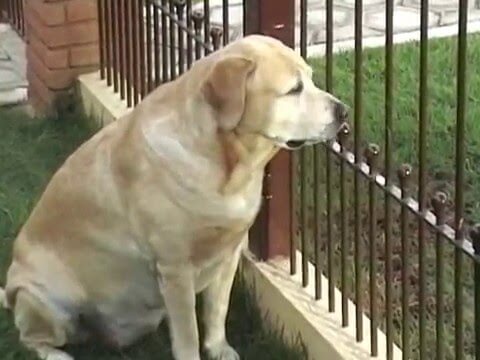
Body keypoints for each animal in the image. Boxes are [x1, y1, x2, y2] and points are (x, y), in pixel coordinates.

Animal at [0, 34, 344, 360]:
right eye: (294, 89)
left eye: (311, 78)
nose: (344, 111)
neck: (228, 168)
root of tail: (11, 291)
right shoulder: (176, 267)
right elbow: (188, 333)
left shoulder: (229, 254)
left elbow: (217, 311)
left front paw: (219, 348)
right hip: (42, 300)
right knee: (33, 339)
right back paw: (57, 354)